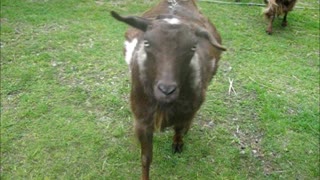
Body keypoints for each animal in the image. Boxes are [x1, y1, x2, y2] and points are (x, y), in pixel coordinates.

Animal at [111, 0, 226, 179]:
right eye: (146, 43)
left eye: (193, 47)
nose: (166, 90)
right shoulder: (141, 119)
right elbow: (145, 158)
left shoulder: (185, 111)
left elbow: (179, 128)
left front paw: (178, 143)